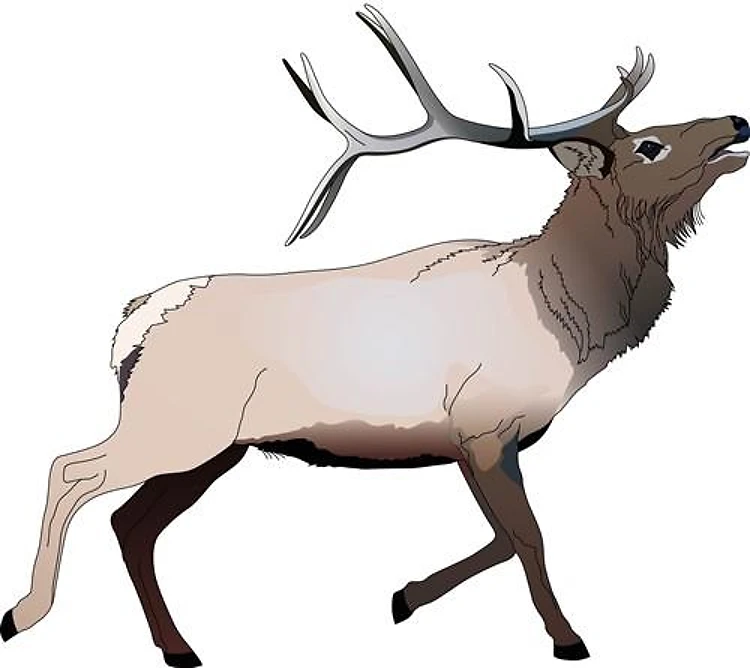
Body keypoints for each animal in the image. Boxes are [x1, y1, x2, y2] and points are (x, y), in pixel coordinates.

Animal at [1, 5, 748, 667]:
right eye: (649, 145)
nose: (738, 120)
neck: (571, 322)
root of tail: (131, 323)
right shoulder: (484, 425)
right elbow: (528, 537)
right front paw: (568, 639)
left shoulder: (472, 441)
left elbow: (504, 538)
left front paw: (405, 597)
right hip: (174, 427)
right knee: (70, 469)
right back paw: (23, 614)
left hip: (213, 448)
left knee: (131, 524)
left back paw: (178, 648)